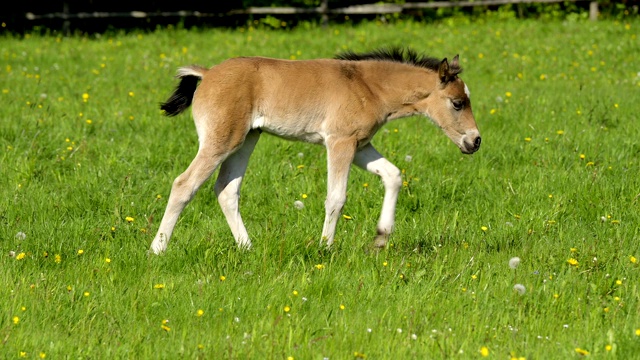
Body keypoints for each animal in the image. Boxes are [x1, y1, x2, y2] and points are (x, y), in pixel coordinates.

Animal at [150, 47, 480, 255]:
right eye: (457, 103)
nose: (475, 141)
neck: (368, 86)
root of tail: (206, 74)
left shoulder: (360, 145)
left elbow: (394, 175)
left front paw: (381, 237)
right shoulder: (340, 142)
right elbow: (336, 197)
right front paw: (325, 247)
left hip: (247, 139)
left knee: (226, 190)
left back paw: (247, 248)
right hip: (222, 140)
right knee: (184, 184)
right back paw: (157, 249)